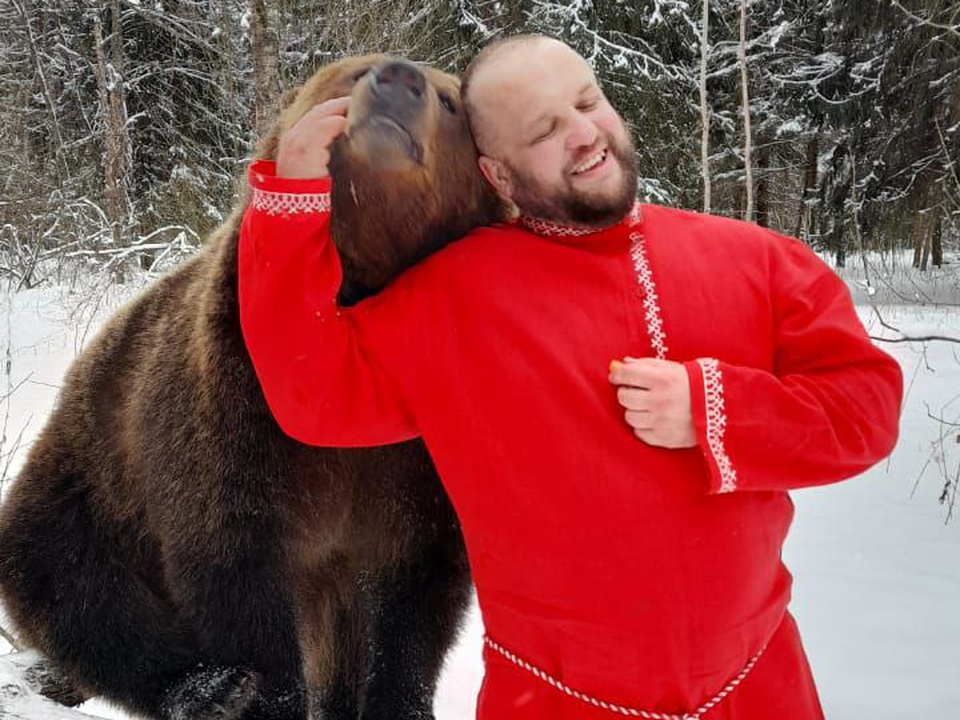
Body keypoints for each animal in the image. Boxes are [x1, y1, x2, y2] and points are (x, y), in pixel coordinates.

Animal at [0, 54, 502, 720]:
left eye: (450, 103)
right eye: (353, 73)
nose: (399, 78)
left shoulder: (414, 459)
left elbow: (414, 591)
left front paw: (397, 701)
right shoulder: (238, 401)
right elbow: (234, 558)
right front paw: (268, 695)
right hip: (87, 489)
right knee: (86, 593)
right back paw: (207, 686)